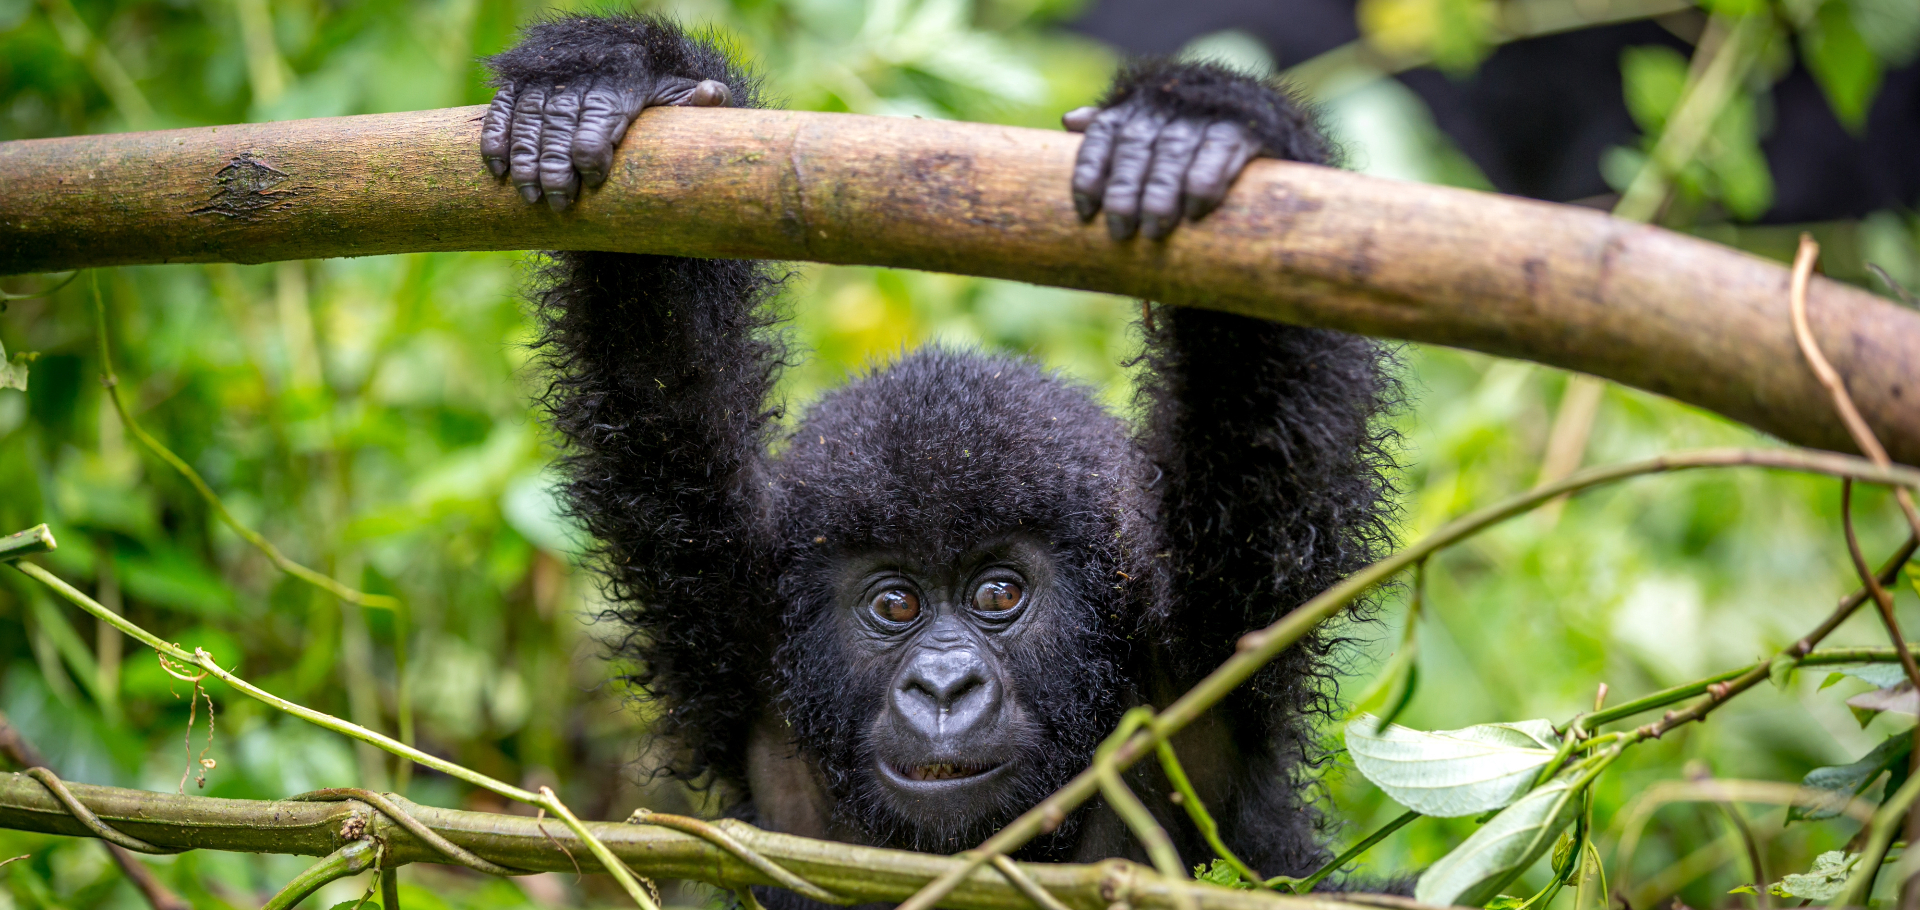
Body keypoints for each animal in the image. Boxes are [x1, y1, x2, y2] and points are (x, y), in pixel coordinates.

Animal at [481, 13, 1398, 902]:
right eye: (895, 604)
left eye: (998, 593)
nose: (945, 688)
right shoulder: (731, 615)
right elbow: (659, 372)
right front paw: (612, 79)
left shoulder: (1210, 634)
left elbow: (1262, 408)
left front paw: (1200, 122)